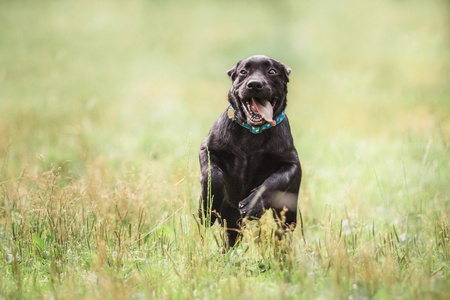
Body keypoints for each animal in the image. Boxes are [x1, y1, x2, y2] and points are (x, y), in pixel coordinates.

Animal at [199, 55, 300, 247]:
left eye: (272, 71)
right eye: (243, 72)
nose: (254, 84)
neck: (253, 133)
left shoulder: (291, 163)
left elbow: (273, 181)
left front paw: (252, 205)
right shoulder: (208, 149)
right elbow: (213, 174)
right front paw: (208, 207)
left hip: (287, 214)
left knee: (283, 235)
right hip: (231, 218)